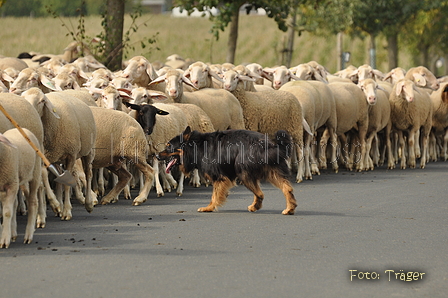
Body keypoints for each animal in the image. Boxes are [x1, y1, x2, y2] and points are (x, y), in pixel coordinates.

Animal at [158, 125, 298, 214]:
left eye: (169, 146)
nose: (156, 155)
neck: (198, 146)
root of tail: (270, 145)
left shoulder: (219, 177)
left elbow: (214, 195)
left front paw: (209, 208)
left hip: (243, 171)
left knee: (260, 193)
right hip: (272, 172)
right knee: (286, 189)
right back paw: (288, 208)